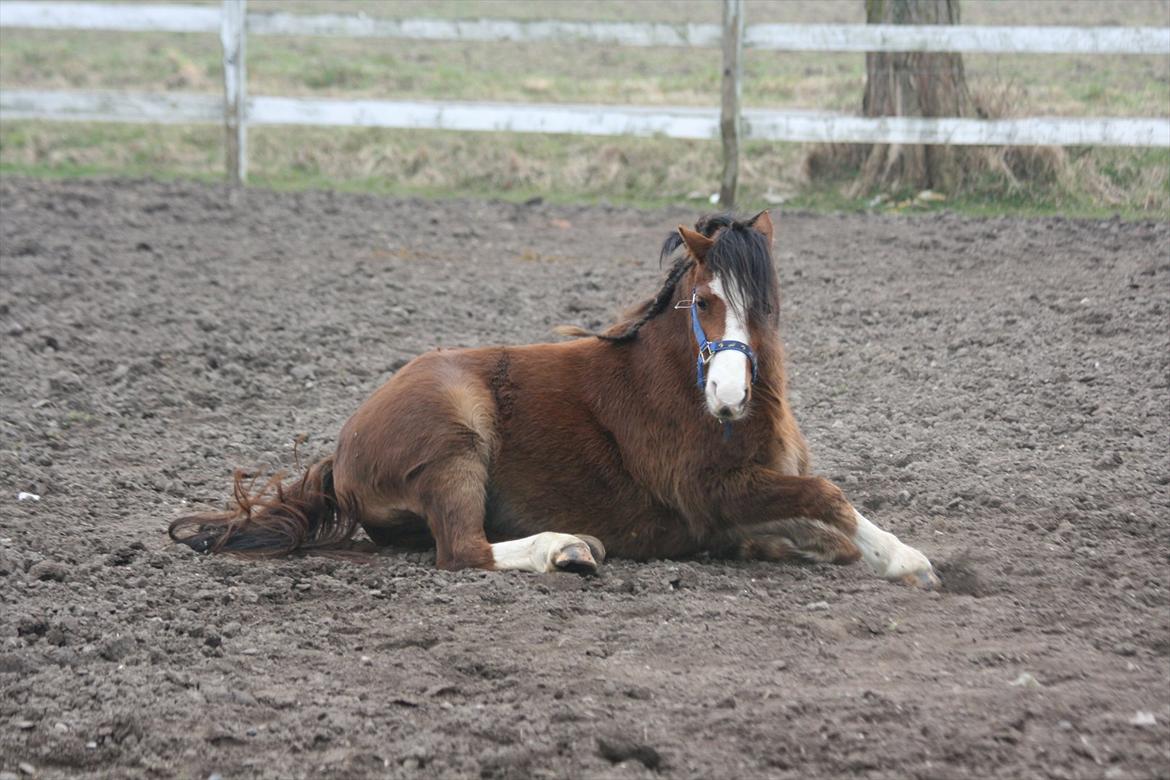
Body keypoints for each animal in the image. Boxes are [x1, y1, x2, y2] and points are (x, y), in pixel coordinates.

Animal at [170, 210, 940, 589]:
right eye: (702, 302)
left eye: (768, 307)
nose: (727, 395)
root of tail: (343, 448)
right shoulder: (712, 492)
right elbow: (828, 497)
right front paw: (906, 560)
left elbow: (817, 524)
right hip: (455, 443)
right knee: (464, 552)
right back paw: (567, 548)